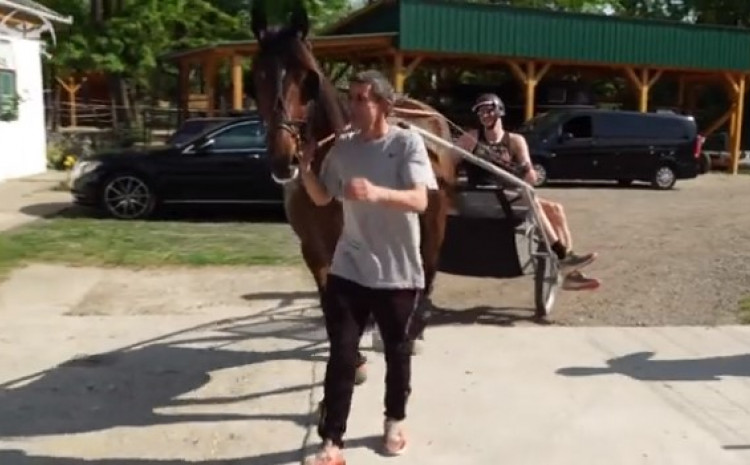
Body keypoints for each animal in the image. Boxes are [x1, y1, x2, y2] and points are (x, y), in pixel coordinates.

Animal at [250, 4, 456, 334]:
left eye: (307, 79)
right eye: (257, 78)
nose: (285, 159)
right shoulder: (314, 249)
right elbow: (331, 304)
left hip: (434, 220)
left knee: (427, 269)